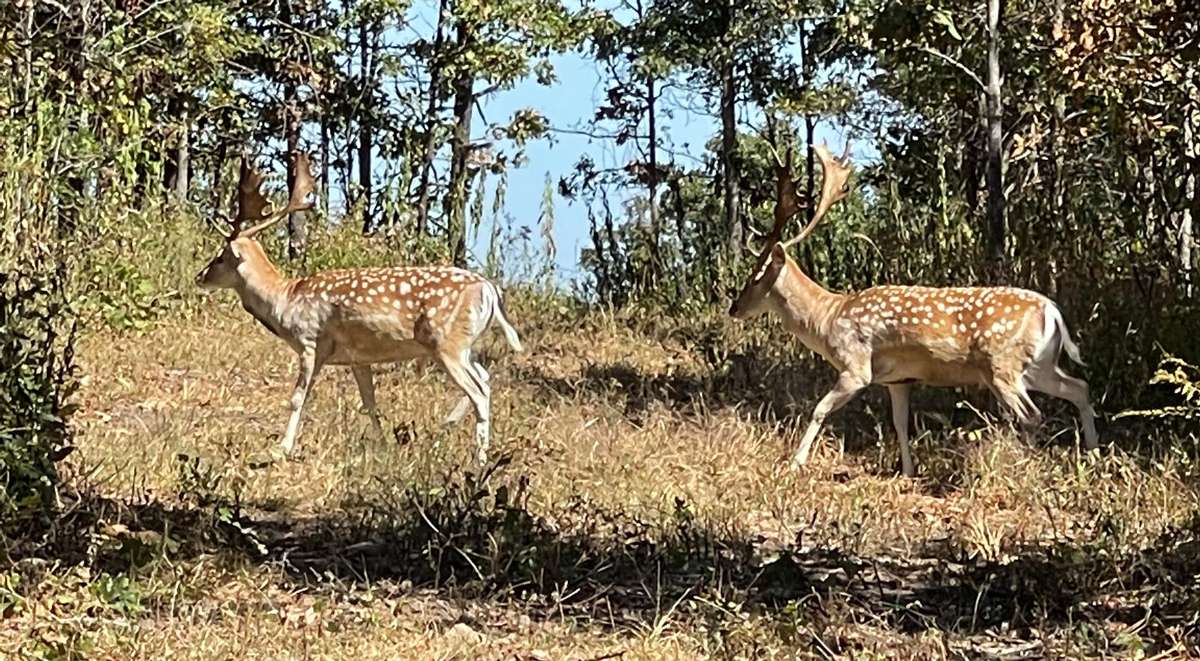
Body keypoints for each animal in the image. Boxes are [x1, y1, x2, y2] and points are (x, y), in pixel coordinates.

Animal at [194, 150, 523, 463]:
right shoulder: (357, 357)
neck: (284, 301)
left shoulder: (311, 344)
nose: (200, 276)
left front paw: (281, 448)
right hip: (466, 345)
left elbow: (298, 398)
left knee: (479, 391)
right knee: (485, 379)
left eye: (220, 257)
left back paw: (479, 457)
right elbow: (369, 402)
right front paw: (382, 446)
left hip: (447, 343)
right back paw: (450, 427)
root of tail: (489, 290)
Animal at [724, 133, 1099, 475]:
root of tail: (1052, 311)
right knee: (1079, 387)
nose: (734, 308)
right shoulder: (898, 379)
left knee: (1033, 414)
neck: (827, 318)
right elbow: (900, 423)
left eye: (755, 275)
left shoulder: (856, 367)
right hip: (1038, 364)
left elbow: (819, 409)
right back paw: (1093, 456)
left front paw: (794, 463)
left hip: (1002, 363)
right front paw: (906, 470)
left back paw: (1027, 465)